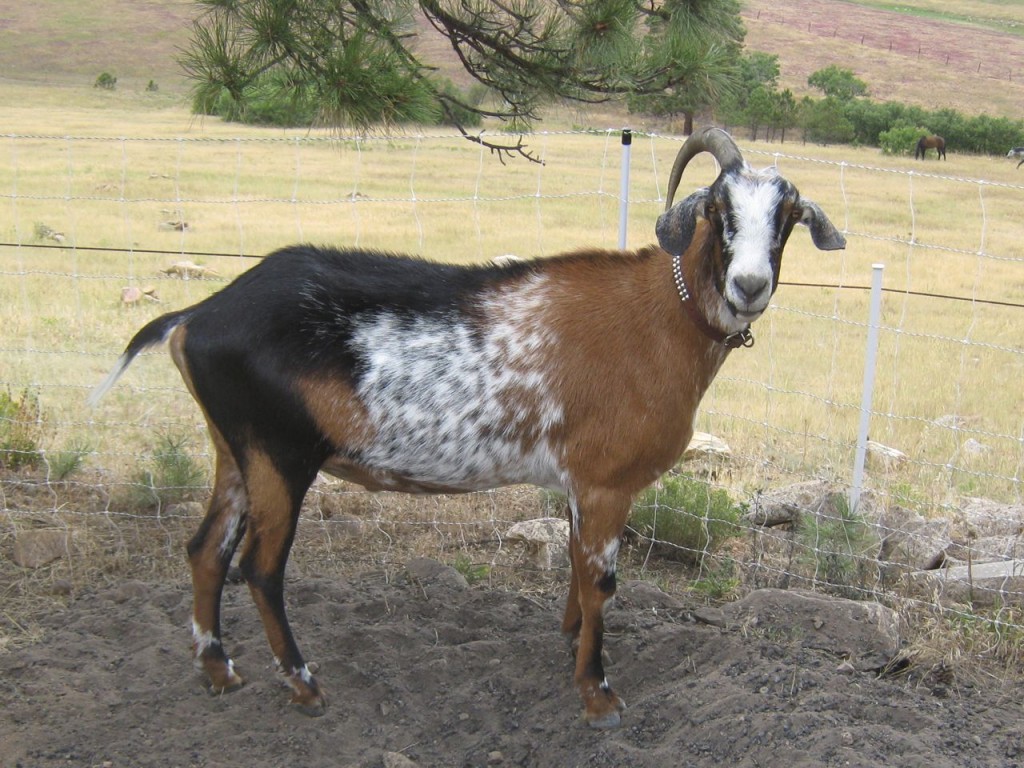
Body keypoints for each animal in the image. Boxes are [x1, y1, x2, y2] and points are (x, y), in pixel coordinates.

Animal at [88, 129, 843, 729]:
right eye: (718, 210)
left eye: (788, 217)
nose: (749, 286)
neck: (658, 316)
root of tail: (196, 317)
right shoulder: (606, 481)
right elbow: (601, 582)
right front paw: (598, 694)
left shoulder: (579, 484)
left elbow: (576, 573)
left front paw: (568, 647)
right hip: (280, 453)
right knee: (260, 568)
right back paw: (303, 686)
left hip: (234, 448)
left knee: (205, 550)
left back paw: (219, 671)